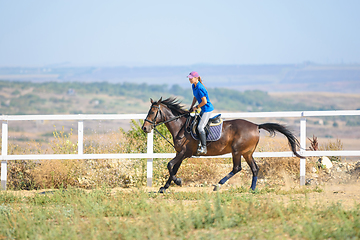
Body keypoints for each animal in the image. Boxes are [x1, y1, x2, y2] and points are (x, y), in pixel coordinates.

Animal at [141, 96, 304, 192]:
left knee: (237, 168)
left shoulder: (184, 153)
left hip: (237, 151)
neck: (181, 126)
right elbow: (173, 168)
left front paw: (177, 181)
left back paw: (218, 184)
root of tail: (256, 126)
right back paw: (251, 189)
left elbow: (170, 165)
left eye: (153, 112)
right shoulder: (180, 153)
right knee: (255, 169)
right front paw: (165, 187)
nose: (145, 128)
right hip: (247, 153)